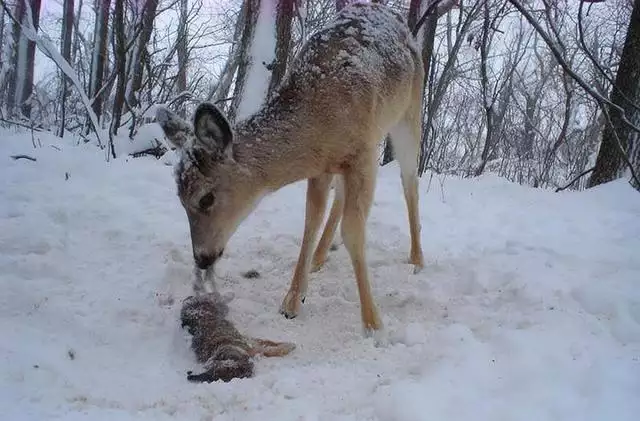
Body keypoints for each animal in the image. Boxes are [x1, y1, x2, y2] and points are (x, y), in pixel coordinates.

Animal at [155, 0, 424, 334]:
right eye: (179, 200)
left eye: (206, 198)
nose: (202, 258)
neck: (320, 120)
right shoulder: (323, 168)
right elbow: (310, 223)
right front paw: (293, 300)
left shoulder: (364, 152)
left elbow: (353, 231)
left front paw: (373, 323)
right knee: (341, 198)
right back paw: (320, 256)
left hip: (409, 113)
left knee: (410, 182)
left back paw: (417, 259)